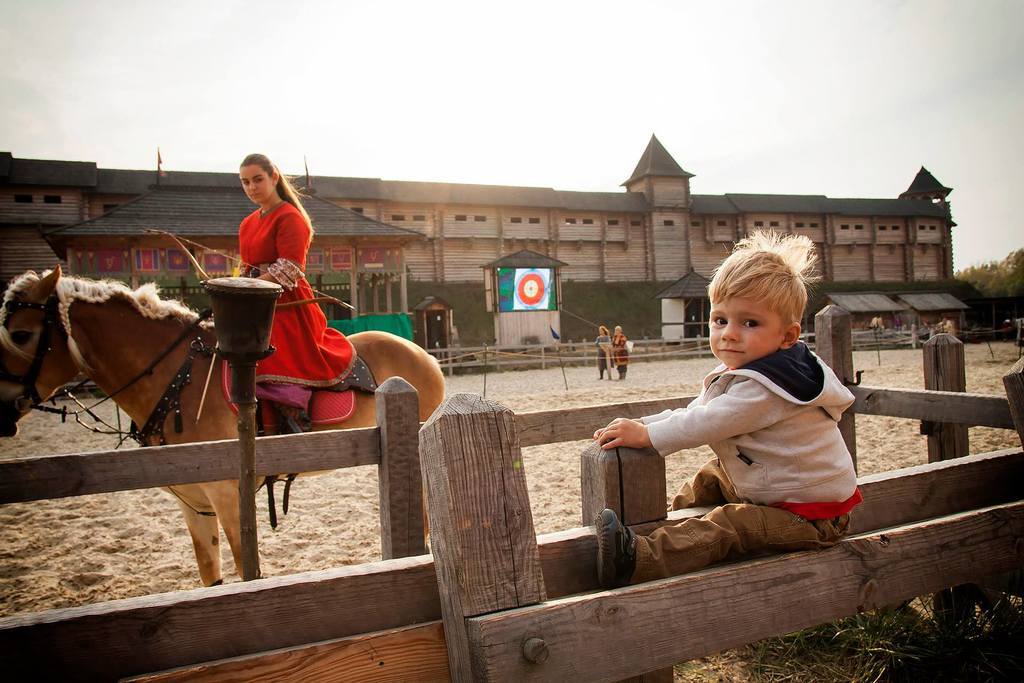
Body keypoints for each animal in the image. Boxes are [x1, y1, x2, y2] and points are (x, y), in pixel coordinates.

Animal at [2, 266, 446, 581]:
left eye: (20, 334)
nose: (3, 410)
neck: (176, 378)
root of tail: (422, 353)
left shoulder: (227, 495)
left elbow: (248, 571)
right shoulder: (193, 503)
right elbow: (210, 576)